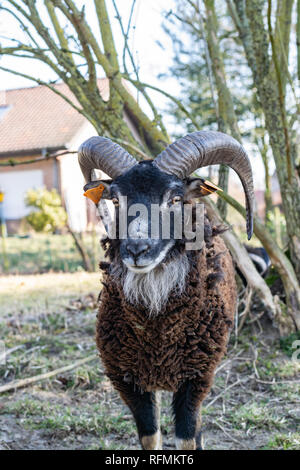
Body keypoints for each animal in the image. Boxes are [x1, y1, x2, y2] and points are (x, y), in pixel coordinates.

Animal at [78, 130, 253, 450]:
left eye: (175, 198)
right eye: (116, 201)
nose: (137, 250)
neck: (158, 333)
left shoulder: (196, 378)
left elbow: (187, 436)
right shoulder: (128, 380)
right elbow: (150, 436)